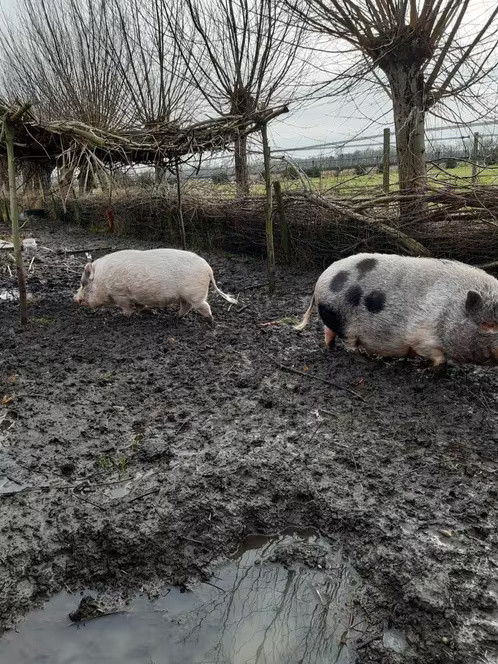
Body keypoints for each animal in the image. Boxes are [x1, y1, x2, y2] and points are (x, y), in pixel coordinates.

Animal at [294, 254, 498, 368]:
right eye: (488, 324)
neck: (449, 310)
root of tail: (320, 280)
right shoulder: (422, 338)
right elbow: (439, 360)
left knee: (328, 332)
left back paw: (331, 348)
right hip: (344, 322)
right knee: (349, 345)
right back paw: (366, 360)